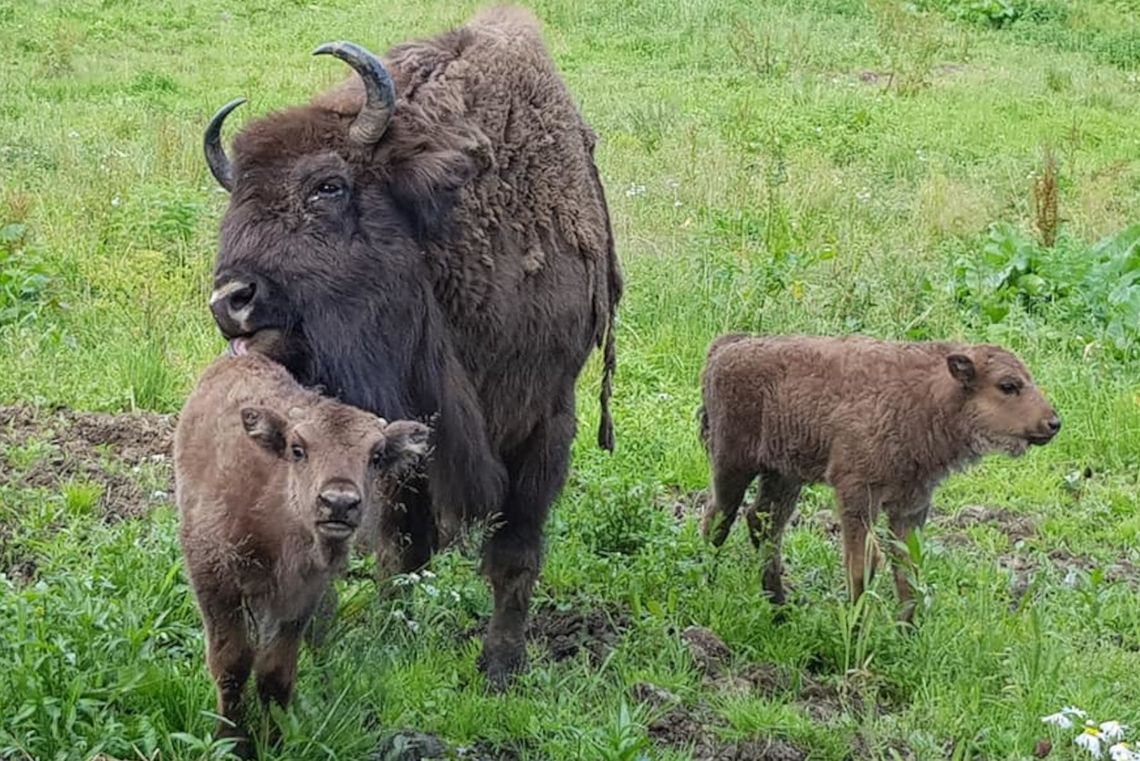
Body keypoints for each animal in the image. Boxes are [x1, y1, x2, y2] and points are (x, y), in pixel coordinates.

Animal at [175, 353, 428, 747]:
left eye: (376, 456)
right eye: (298, 449)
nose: (339, 502)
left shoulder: (301, 598)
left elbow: (275, 673)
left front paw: (273, 741)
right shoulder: (214, 581)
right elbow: (231, 662)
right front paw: (230, 741)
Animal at [200, 5, 620, 683]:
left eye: (329, 186)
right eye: (237, 199)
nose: (230, 301)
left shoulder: (546, 419)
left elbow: (515, 551)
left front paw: (500, 666)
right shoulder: (406, 433)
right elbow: (405, 546)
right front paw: (391, 635)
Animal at [697, 334, 1062, 619]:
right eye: (1008, 385)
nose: (1053, 423)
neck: (928, 396)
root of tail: (726, 348)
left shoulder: (911, 506)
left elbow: (907, 570)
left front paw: (907, 633)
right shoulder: (858, 496)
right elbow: (862, 568)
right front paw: (857, 631)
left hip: (784, 476)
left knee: (763, 524)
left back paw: (779, 608)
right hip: (732, 465)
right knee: (718, 520)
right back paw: (707, 582)